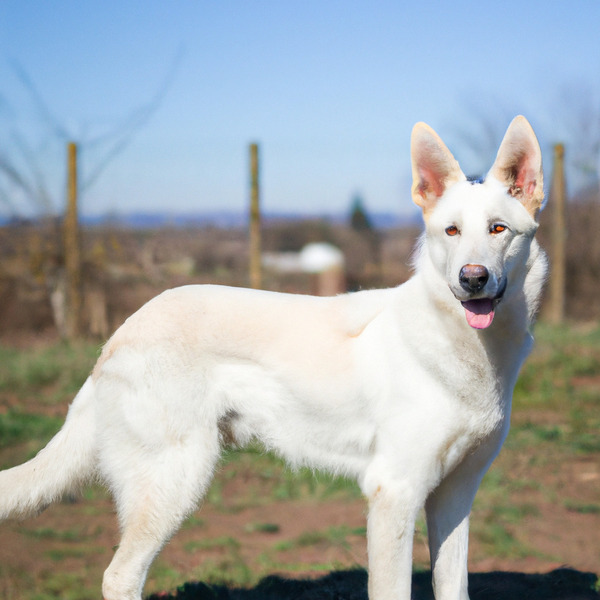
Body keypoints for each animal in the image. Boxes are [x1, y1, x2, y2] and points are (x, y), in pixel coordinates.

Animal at [0, 115, 548, 596]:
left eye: (498, 229)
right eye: (451, 232)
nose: (472, 278)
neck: (464, 351)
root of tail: (117, 338)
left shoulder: (454, 496)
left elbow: (454, 586)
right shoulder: (393, 494)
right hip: (175, 481)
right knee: (119, 577)